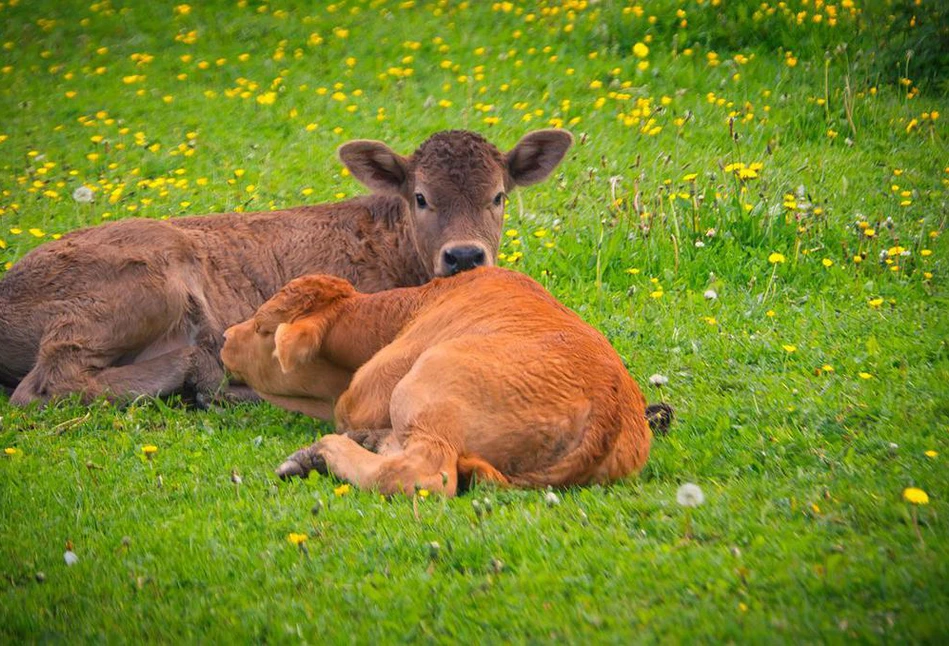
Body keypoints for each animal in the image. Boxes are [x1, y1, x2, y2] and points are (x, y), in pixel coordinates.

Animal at [0, 129, 572, 408]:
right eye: (421, 197)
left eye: (498, 196)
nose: (465, 256)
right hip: (147, 281)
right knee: (48, 384)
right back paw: (204, 372)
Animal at [221, 268, 652, 496]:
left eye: (262, 328)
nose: (225, 337)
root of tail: (608, 403)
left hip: (424, 385)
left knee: (422, 473)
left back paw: (323, 451)